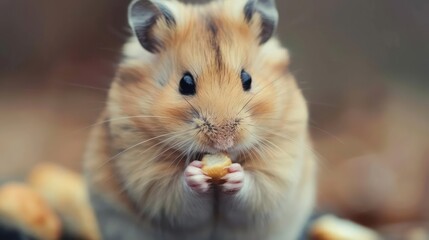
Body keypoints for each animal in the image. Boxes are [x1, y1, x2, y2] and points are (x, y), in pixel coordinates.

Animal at [83, 0, 316, 240]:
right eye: (185, 83)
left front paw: (235, 175)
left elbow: (255, 191)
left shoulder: (278, 166)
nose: (224, 142)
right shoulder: (148, 175)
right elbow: (178, 194)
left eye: (247, 78)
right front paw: (194, 174)